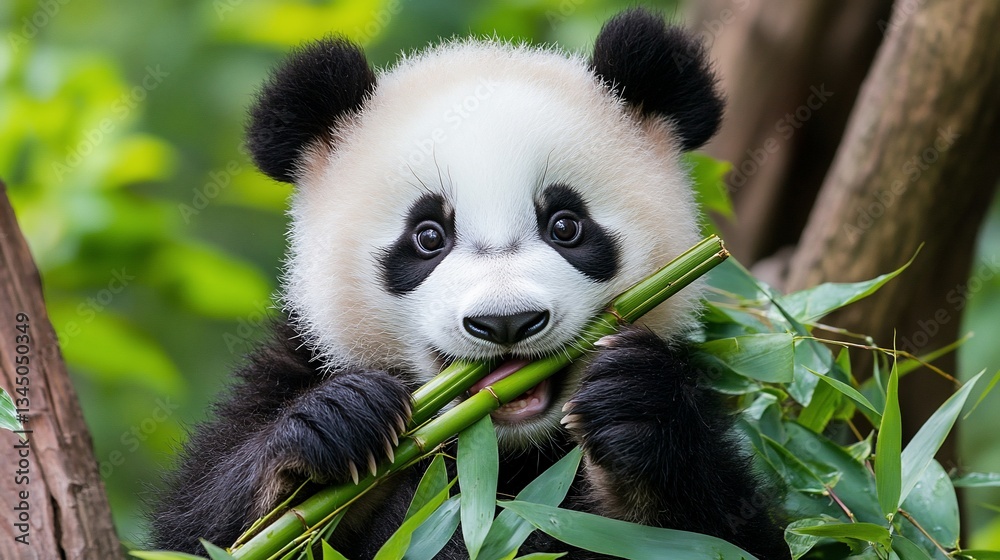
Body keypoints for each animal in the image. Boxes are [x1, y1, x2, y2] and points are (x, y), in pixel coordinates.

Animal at [151, 8, 787, 560]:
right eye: (428, 236)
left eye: (566, 225)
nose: (506, 322)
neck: (497, 452)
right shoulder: (293, 365)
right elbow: (204, 531)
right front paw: (335, 424)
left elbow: (724, 534)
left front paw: (636, 406)